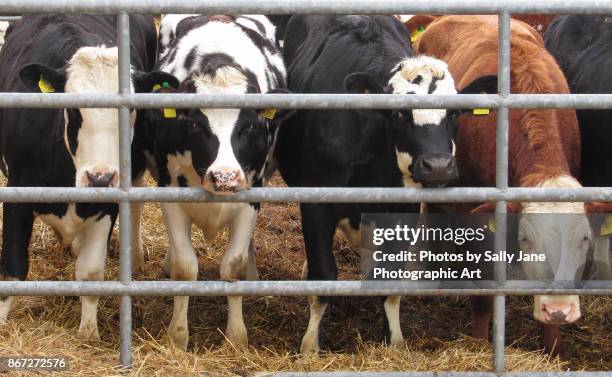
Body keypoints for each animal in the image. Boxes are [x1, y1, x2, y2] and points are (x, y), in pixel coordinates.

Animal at [0, 13, 175, 338]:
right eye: (72, 110)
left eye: (130, 111)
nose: (100, 179)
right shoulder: (18, 194)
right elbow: (13, 269)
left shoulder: (106, 204)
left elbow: (91, 272)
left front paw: (88, 333)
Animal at [278, 14, 498, 354]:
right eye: (399, 114)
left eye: (454, 113)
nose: (437, 166)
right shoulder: (316, 205)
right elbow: (323, 273)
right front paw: (312, 344)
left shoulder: (403, 209)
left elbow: (390, 275)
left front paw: (393, 339)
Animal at [408, 15, 596, 356]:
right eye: (527, 240)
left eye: (584, 239)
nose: (559, 309)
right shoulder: (476, 215)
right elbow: (484, 293)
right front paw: (480, 344)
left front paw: (552, 348)